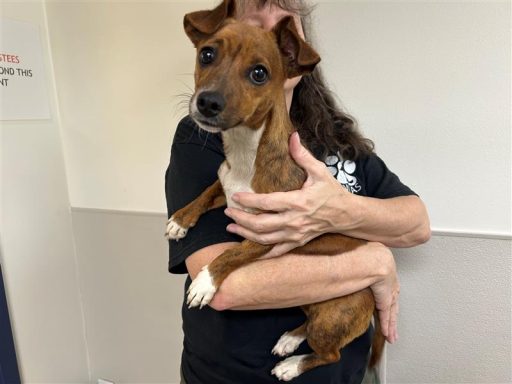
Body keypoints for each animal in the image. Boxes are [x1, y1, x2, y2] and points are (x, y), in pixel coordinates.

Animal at [167, 0, 384, 378]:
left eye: (259, 73)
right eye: (207, 54)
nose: (207, 102)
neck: (246, 152)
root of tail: (371, 299)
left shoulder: (269, 233)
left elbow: (231, 254)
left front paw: (206, 282)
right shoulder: (226, 186)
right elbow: (206, 192)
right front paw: (181, 220)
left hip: (329, 320)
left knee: (330, 354)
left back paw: (292, 365)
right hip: (312, 306)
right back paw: (289, 339)